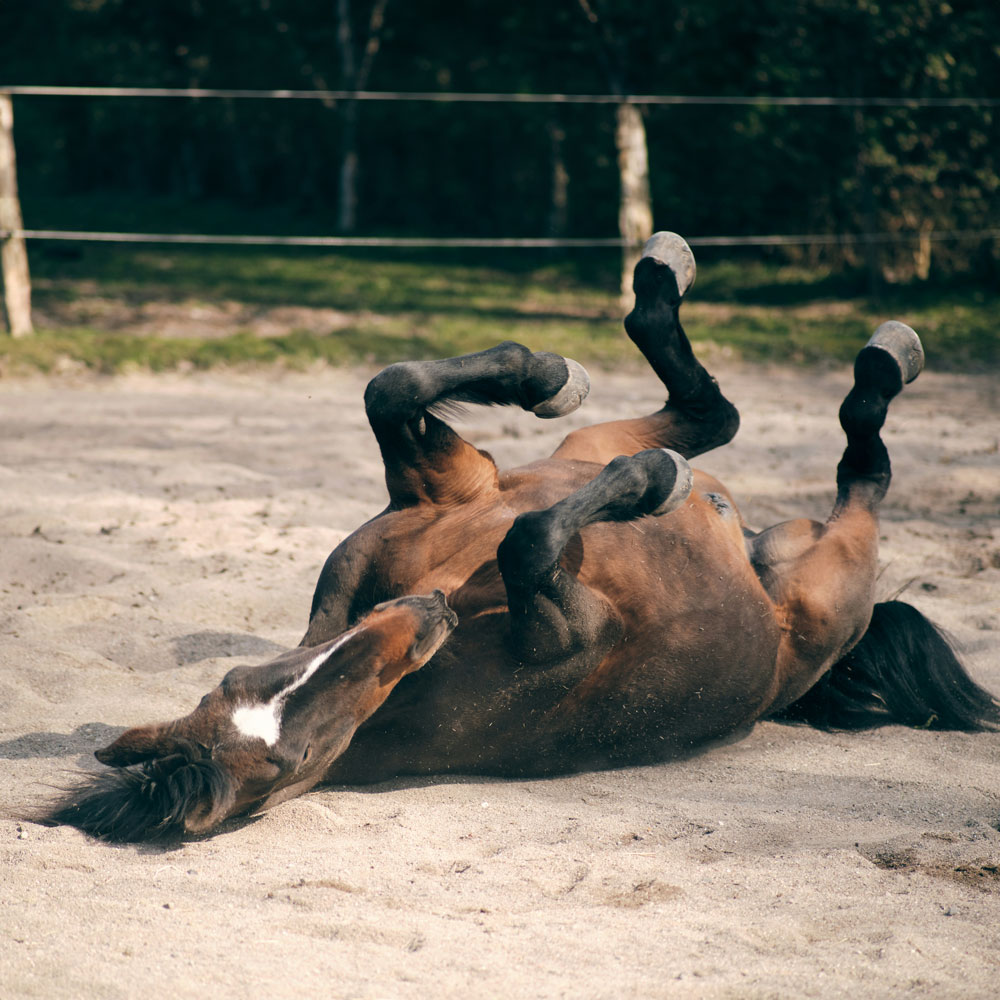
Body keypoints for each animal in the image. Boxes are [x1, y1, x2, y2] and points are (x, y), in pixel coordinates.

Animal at [47, 230, 1000, 840]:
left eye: (241, 676)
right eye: (295, 758)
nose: (417, 618)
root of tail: (760, 558)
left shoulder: (446, 490)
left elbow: (392, 388)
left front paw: (541, 374)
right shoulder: (572, 621)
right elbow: (531, 543)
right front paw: (648, 484)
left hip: (588, 446)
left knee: (708, 413)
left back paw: (654, 299)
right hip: (831, 577)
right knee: (851, 472)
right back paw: (855, 375)